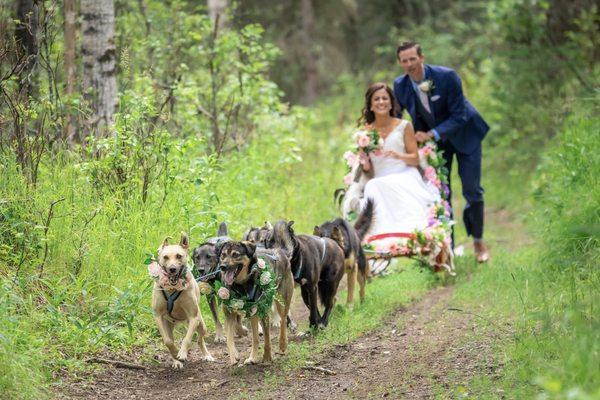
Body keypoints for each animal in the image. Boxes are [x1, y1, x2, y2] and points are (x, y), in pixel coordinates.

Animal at [149, 234, 213, 368]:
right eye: (165, 257)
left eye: (179, 256)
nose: (172, 269)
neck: (172, 288)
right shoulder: (158, 316)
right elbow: (167, 341)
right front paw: (175, 354)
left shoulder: (193, 318)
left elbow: (187, 339)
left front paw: (182, 354)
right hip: (168, 324)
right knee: (171, 338)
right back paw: (176, 361)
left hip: (201, 324)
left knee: (200, 339)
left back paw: (206, 355)